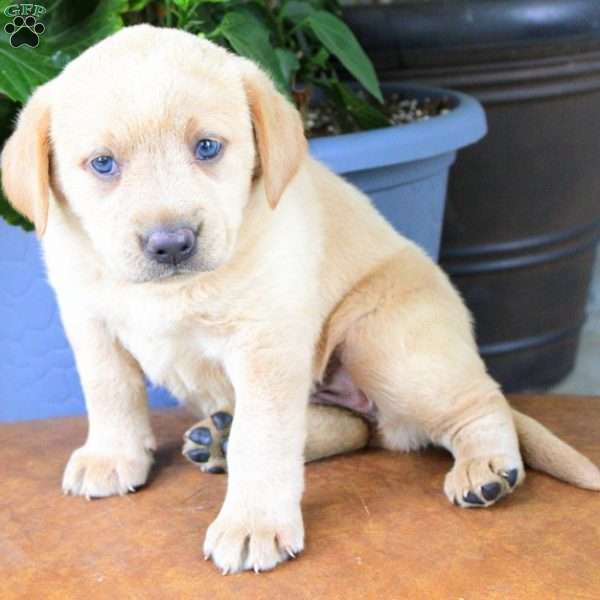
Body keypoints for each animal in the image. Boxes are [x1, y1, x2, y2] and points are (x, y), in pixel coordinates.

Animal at [2, 25, 596, 576]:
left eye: (207, 147)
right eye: (102, 164)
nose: (171, 243)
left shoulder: (264, 341)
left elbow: (263, 438)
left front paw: (252, 523)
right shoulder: (88, 320)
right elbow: (110, 392)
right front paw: (112, 455)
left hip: (386, 344)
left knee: (479, 401)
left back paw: (488, 466)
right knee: (357, 428)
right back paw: (217, 440)